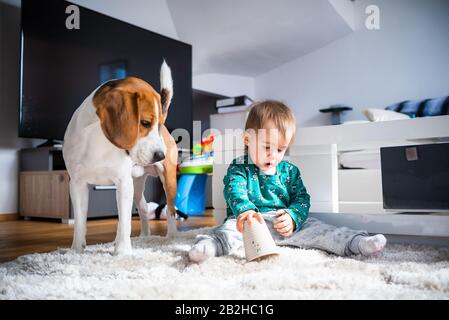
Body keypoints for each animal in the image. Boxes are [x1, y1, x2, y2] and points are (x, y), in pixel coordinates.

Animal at [63, 60, 178, 255]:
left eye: (159, 126)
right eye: (145, 123)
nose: (160, 155)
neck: (97, 138)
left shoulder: (123, 183)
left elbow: (124, 222)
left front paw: (122, 251)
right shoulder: (77, 184)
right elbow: (79, 221)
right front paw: (77, 250)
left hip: (167, 180)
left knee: (171, 209)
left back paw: (172, 235)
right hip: (136, 185)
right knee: (144, 207)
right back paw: (145, 237)